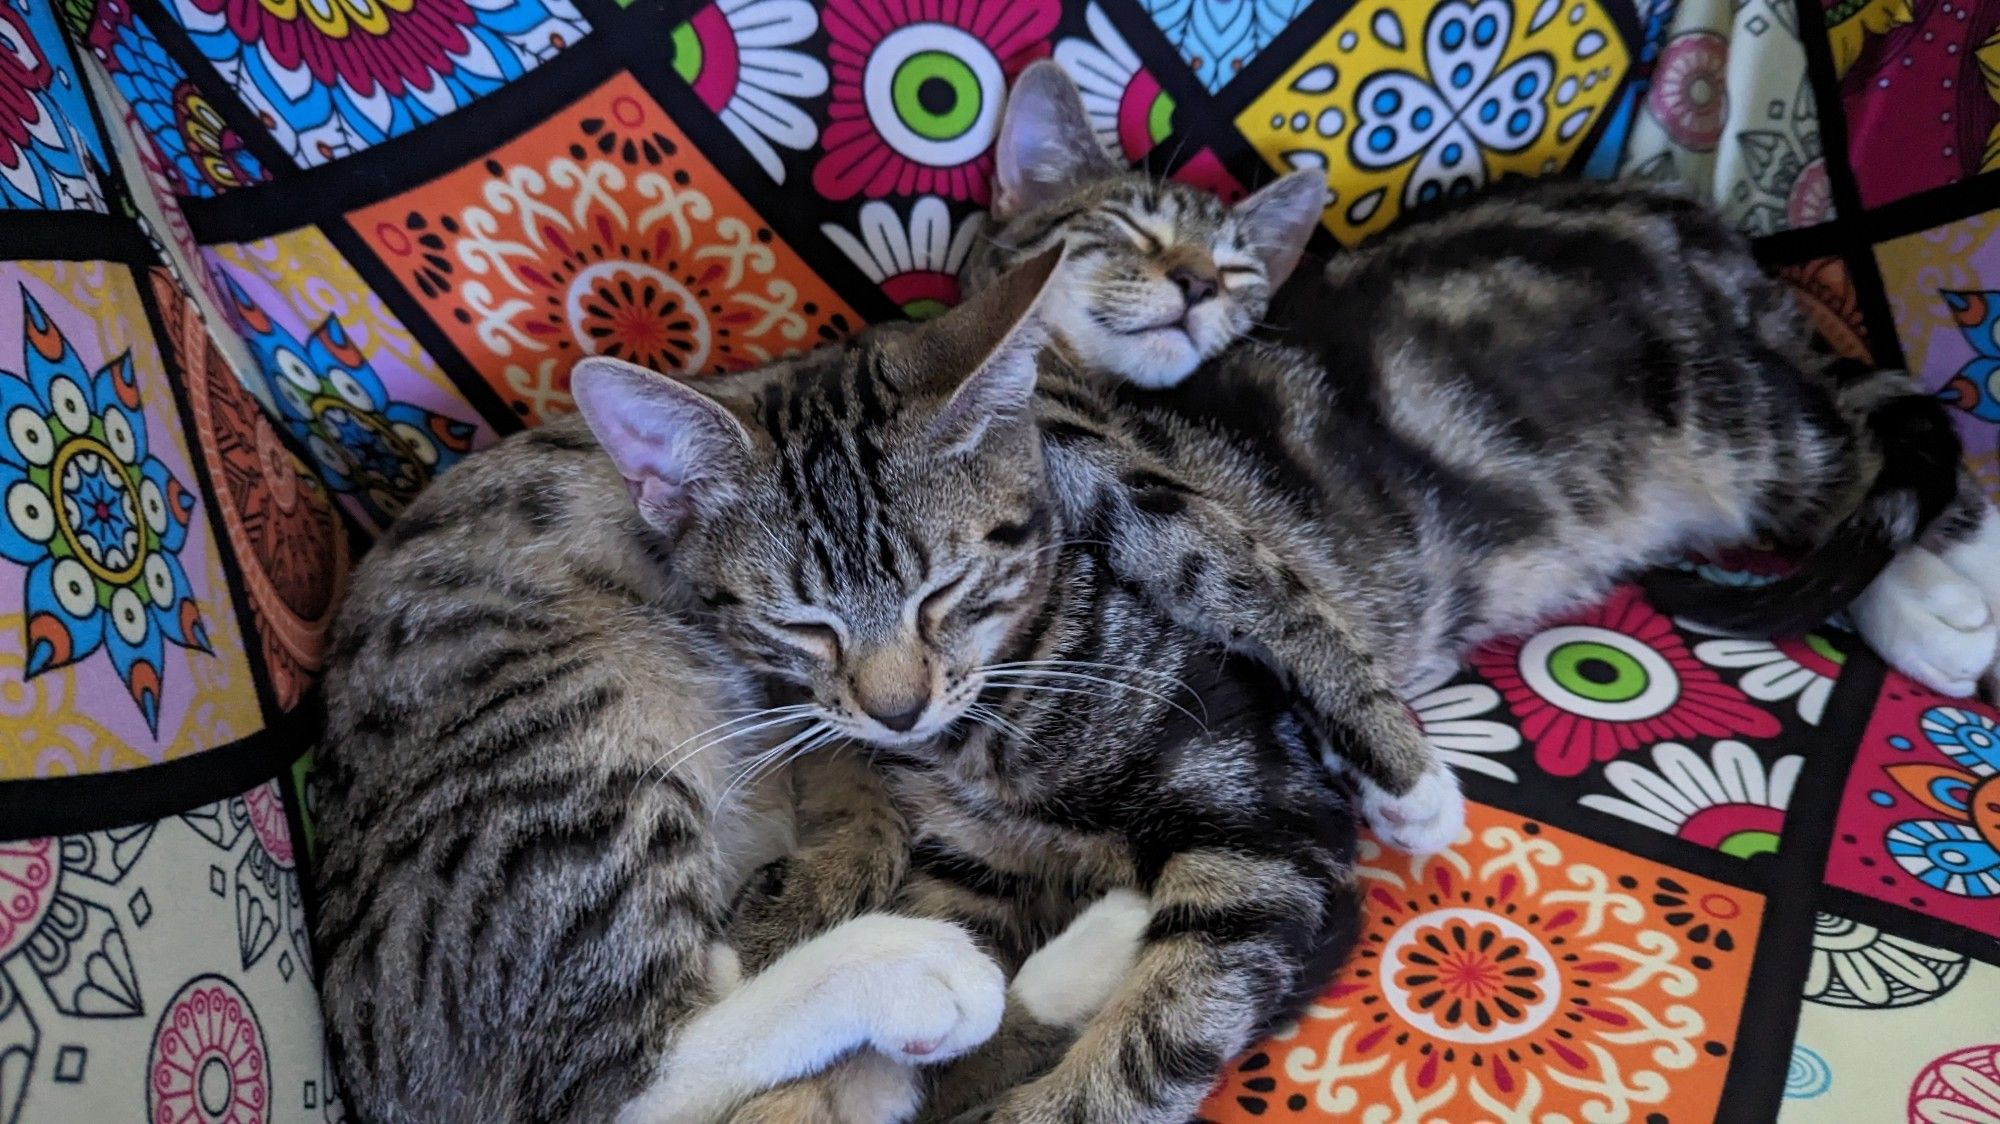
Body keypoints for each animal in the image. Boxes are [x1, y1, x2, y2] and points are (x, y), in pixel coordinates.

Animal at [956, 61, 2000, 848]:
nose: (1198, 282)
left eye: (1241, 266)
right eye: (1128, 228)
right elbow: (1256, 583)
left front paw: (1403, 768)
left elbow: (1262, 583)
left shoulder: (1136, 475)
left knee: (1872, 462)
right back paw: (1936, 613)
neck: (1074, 378)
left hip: (1727, 415)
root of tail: (1708, 235)